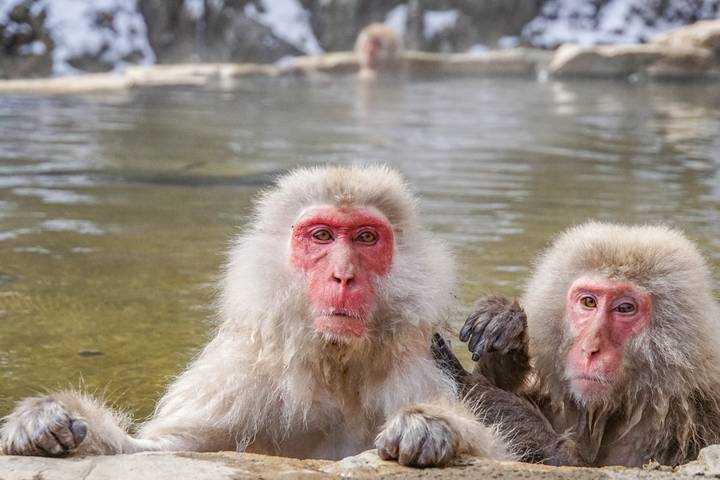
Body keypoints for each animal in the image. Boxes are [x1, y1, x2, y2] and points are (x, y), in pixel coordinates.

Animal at [0, 165, 511, 467]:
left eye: (366, 238)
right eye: (322, 236)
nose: (344, 276)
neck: (335, 363)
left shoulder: (418, 368)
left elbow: (500, 453)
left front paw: (430, 426)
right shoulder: (240, 376)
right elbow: (164, 450)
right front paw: (45, 420)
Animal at [434, 222, 720, 467]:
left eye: (625, 308)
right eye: (588, 302)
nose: (590, 348)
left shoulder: (695, 419)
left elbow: (566, 460)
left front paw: (480, 392)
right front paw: (504, 325)